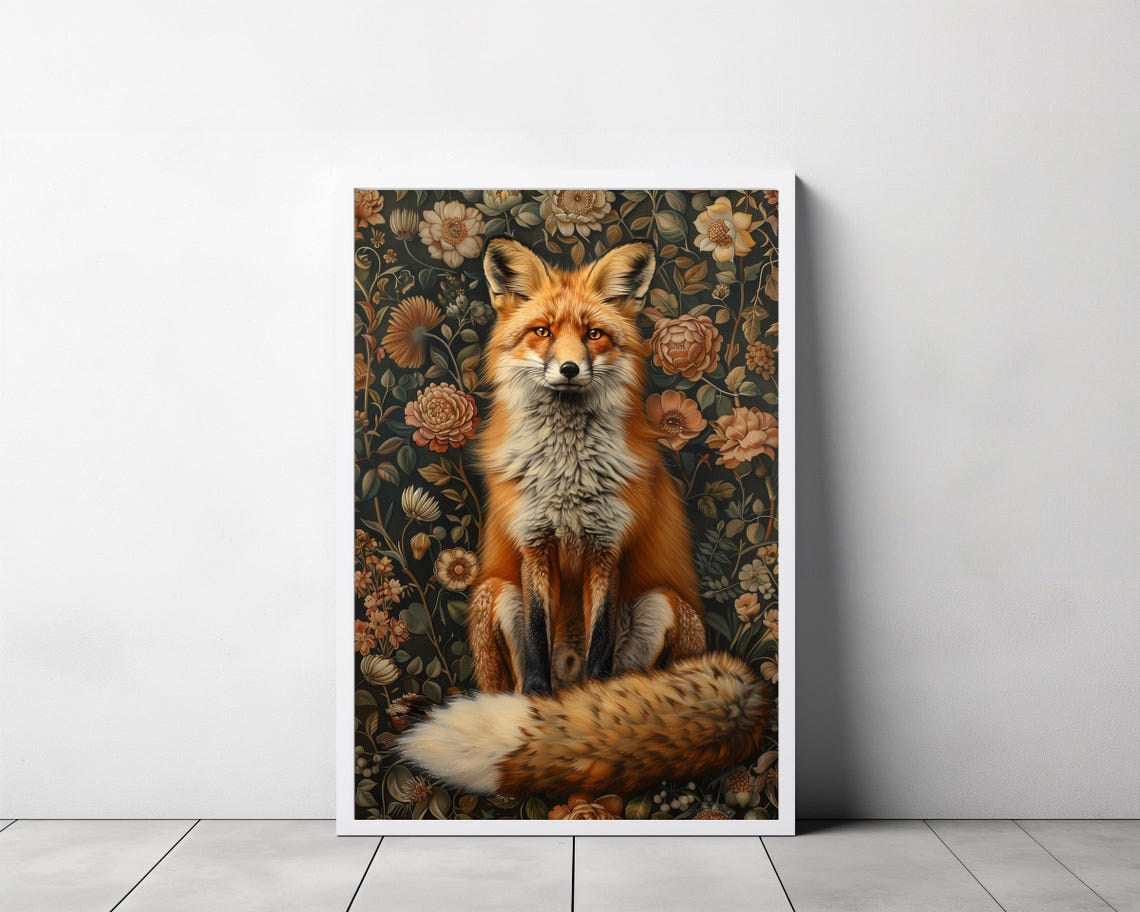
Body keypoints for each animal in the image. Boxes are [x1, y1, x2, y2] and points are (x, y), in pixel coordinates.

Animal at [395, 237, 772, 797]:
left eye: (594, 334)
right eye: (543, 332)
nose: (569, 369)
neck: (566, 474)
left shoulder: (605, 548)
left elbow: (600, 644)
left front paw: (583, 712)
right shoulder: (534, 544)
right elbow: (535, 639)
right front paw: (538, 704)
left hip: (663, 605)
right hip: (492, 593)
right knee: (502, 681)